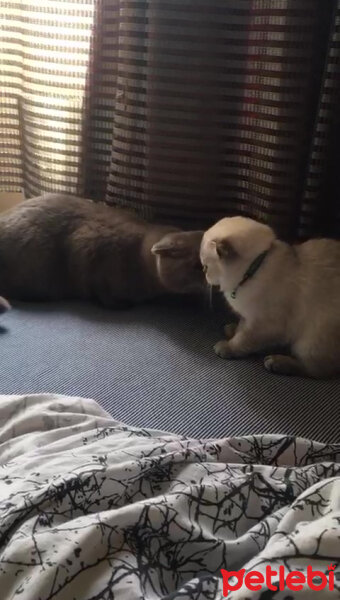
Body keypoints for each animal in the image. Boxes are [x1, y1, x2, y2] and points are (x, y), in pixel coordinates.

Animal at [201, 216, 340, 376]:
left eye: (206, 267)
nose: (205, 276)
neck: (254, 270)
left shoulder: (265, 325)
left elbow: (243, 339)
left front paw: (227, 347)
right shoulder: (249, 316)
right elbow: (241, 327)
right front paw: (232, 330)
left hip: (310, 341)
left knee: (316, 370)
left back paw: (276, 362)